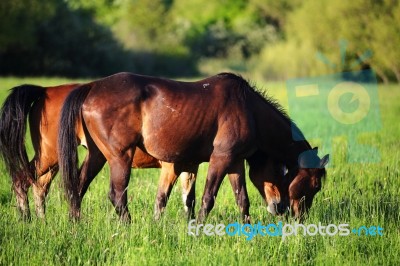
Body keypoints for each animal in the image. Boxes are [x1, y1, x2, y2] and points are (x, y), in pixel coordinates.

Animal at [57, 72, 328, 222]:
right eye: (314, 186)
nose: (296, 216)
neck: (249, 109)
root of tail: (91, 87)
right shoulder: (220, 159)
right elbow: (208, 198)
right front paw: (198, 228)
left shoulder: (235, 163)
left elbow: (242, 199)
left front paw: (248, 229)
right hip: (119, 158)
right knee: (117, 195)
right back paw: (128, 226)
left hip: (97, 156)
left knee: (77, 188)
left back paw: (75, 225)